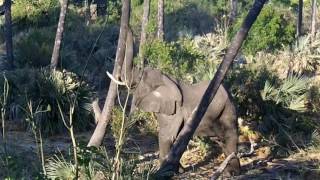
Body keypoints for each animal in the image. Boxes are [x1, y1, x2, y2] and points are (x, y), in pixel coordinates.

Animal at [111, 29, 239, 176]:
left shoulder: (175, 110)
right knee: (221, 140)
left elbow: (167, 136)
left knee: (230, 136)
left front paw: (165, 172)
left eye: (139, 79)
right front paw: (178, 170)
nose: (129, 28)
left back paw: (232, 173)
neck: (167, 79)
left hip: (227, 108)